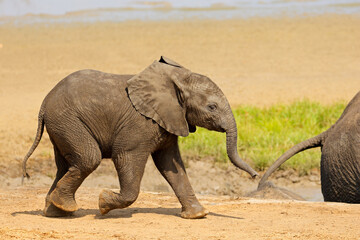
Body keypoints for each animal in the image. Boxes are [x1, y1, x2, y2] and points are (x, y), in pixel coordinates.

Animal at [22, 57, 258, 218]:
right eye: (212, 107)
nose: (255, 175)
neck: (176, 80)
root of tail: (44, 103)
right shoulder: (140, 123)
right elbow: (126, 156)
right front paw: (103, 203)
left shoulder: (168, 120)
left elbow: (171, 165)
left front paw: (198, 215)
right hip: (68, 121)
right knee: (88, 158)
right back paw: (66, 207)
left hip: (62, 126)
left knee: (65, 166)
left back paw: (56, 211)